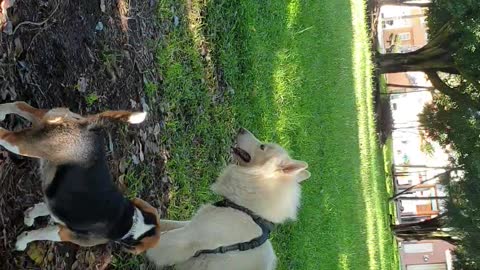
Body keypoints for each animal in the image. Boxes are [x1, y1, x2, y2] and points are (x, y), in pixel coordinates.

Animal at [0, 102, 161, 255]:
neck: (134, 224)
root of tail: (88, 125)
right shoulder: (64, 234)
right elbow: (39, 234)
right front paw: (22, 242)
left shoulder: (56, 207)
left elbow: (40, 209)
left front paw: (29, 217)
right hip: (23, 145)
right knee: (5, 135)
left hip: (42, 120)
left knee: (18, 105)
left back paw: (2, 111)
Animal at [147, 127, 312, 268]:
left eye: (262, 146)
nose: (241, 128)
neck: (247, 210)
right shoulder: (192, 225)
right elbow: (163, 223)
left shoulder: (186, 238)